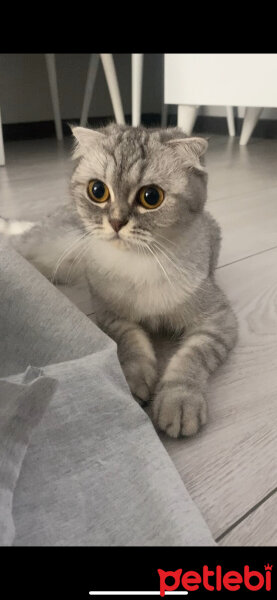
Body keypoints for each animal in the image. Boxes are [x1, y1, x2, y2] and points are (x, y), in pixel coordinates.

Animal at [0, 124, 237, 438]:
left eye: (151, 196)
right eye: (98, 191)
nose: (115, 222)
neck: (140, 263)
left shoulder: (218, 320)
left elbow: (192, 358)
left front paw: (179, 401)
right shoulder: (110, 315)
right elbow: (131, 342)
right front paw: (134, 379)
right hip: (46, 250)